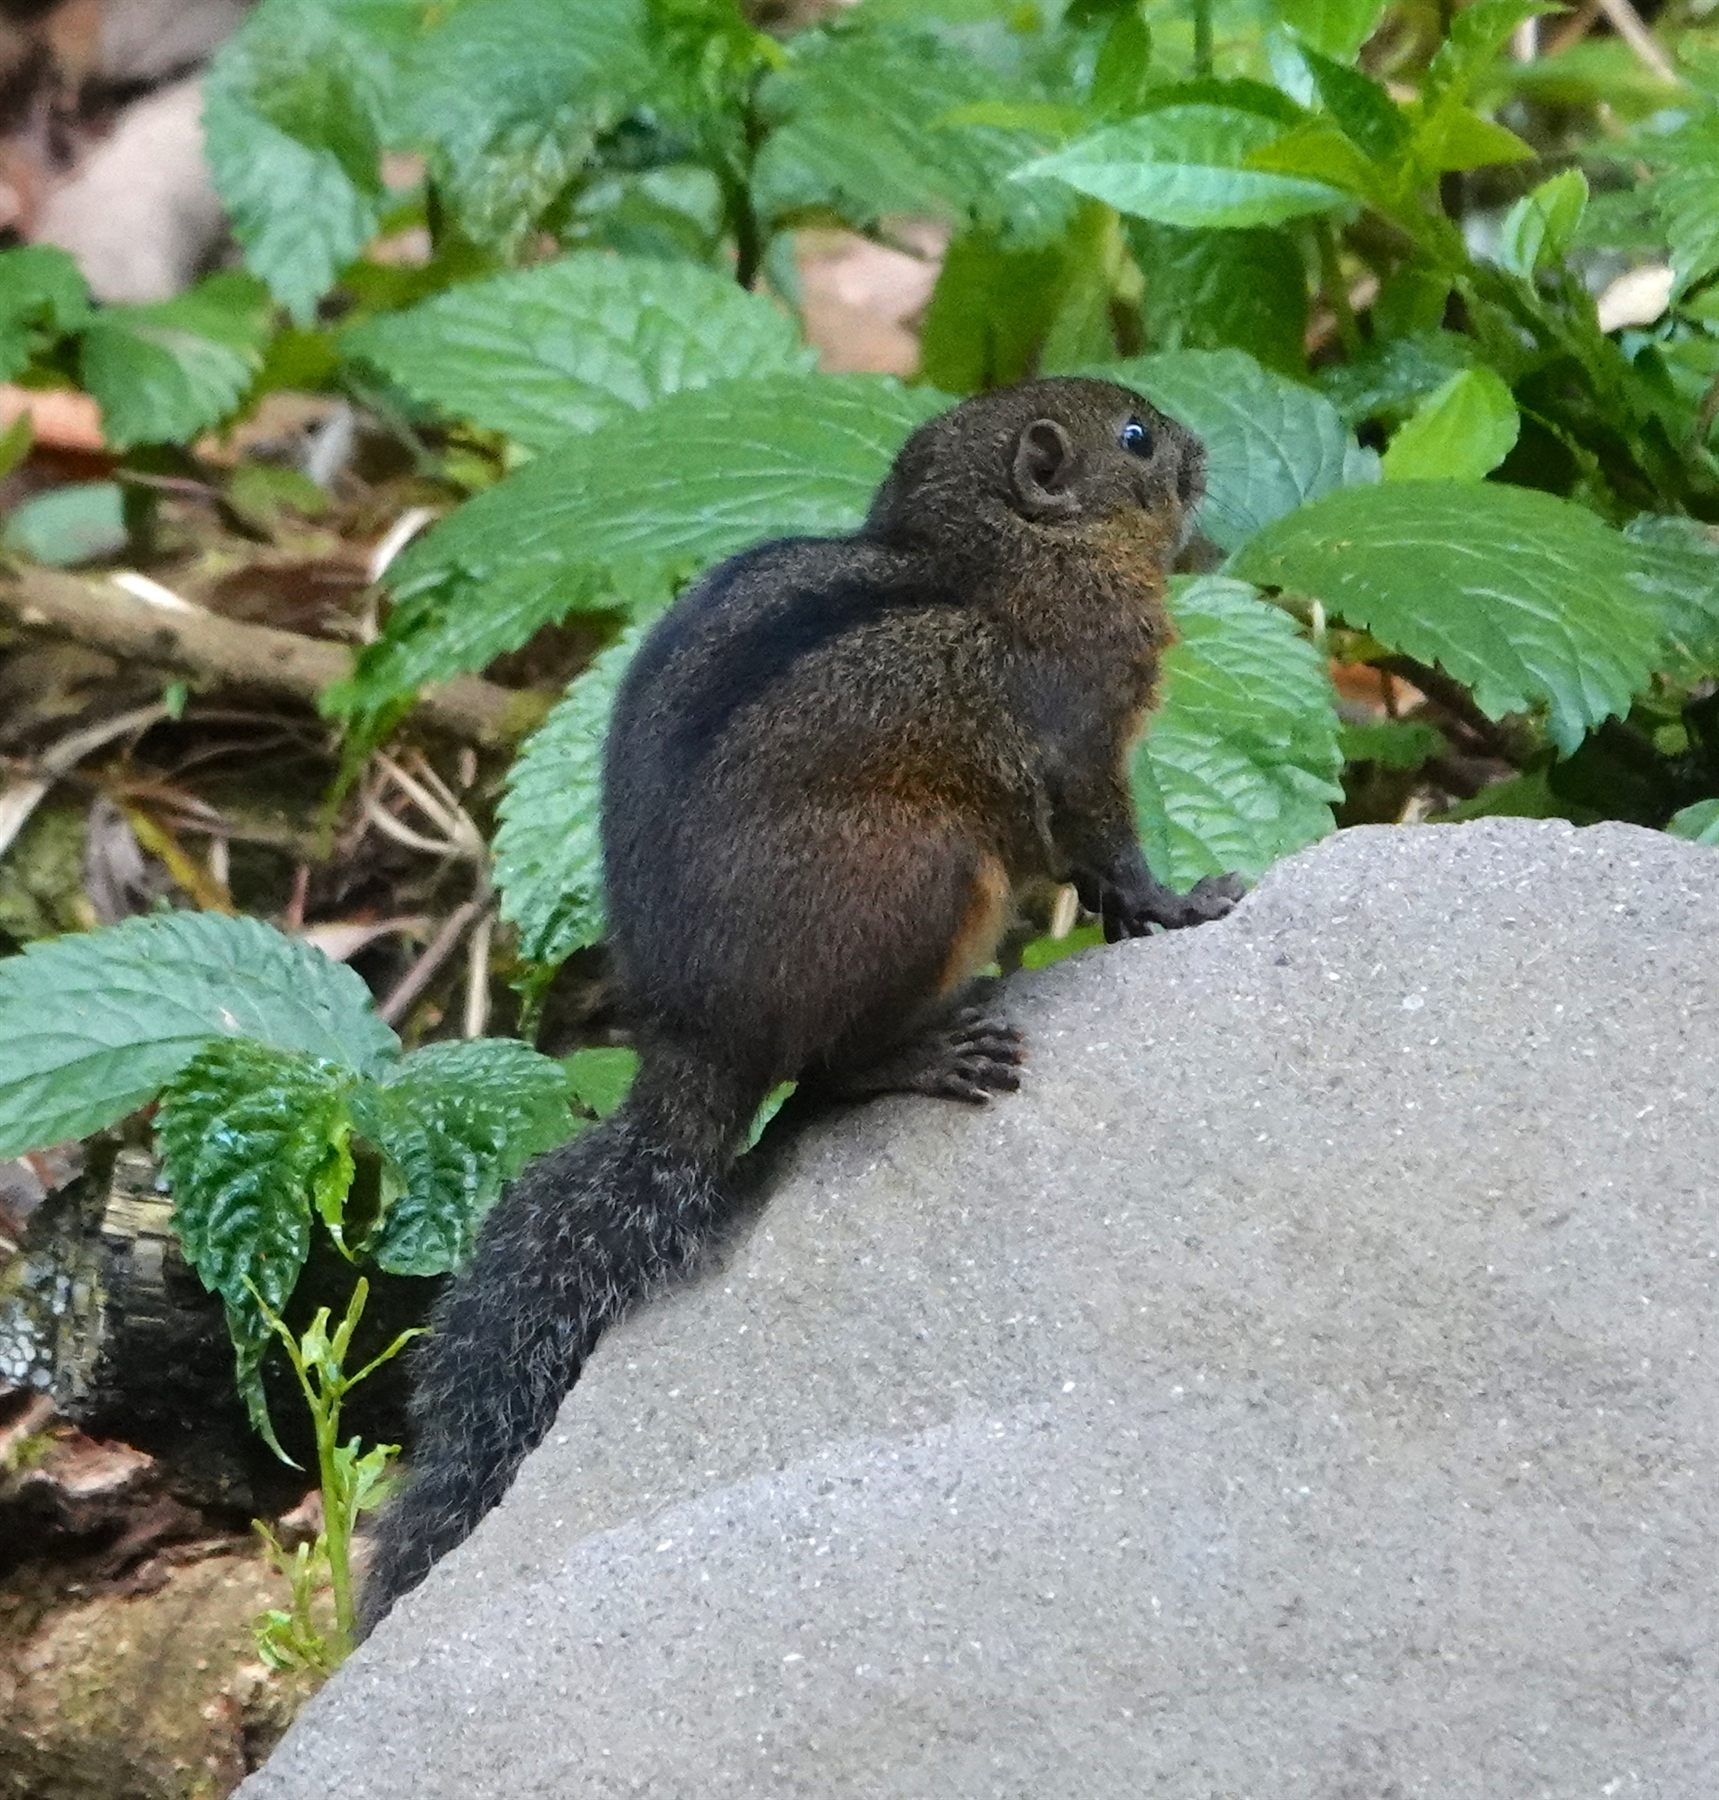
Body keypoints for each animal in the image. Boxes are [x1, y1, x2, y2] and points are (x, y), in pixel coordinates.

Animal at [358, 376, 1242, 1634]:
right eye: (1135, 438)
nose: (1205, 450)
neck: (998, 558)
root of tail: (694, 1055)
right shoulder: (1080, 739)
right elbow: (1109, 844)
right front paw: (1182, 904)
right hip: (927, 874)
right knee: (827, 1071)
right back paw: (933, 1051)